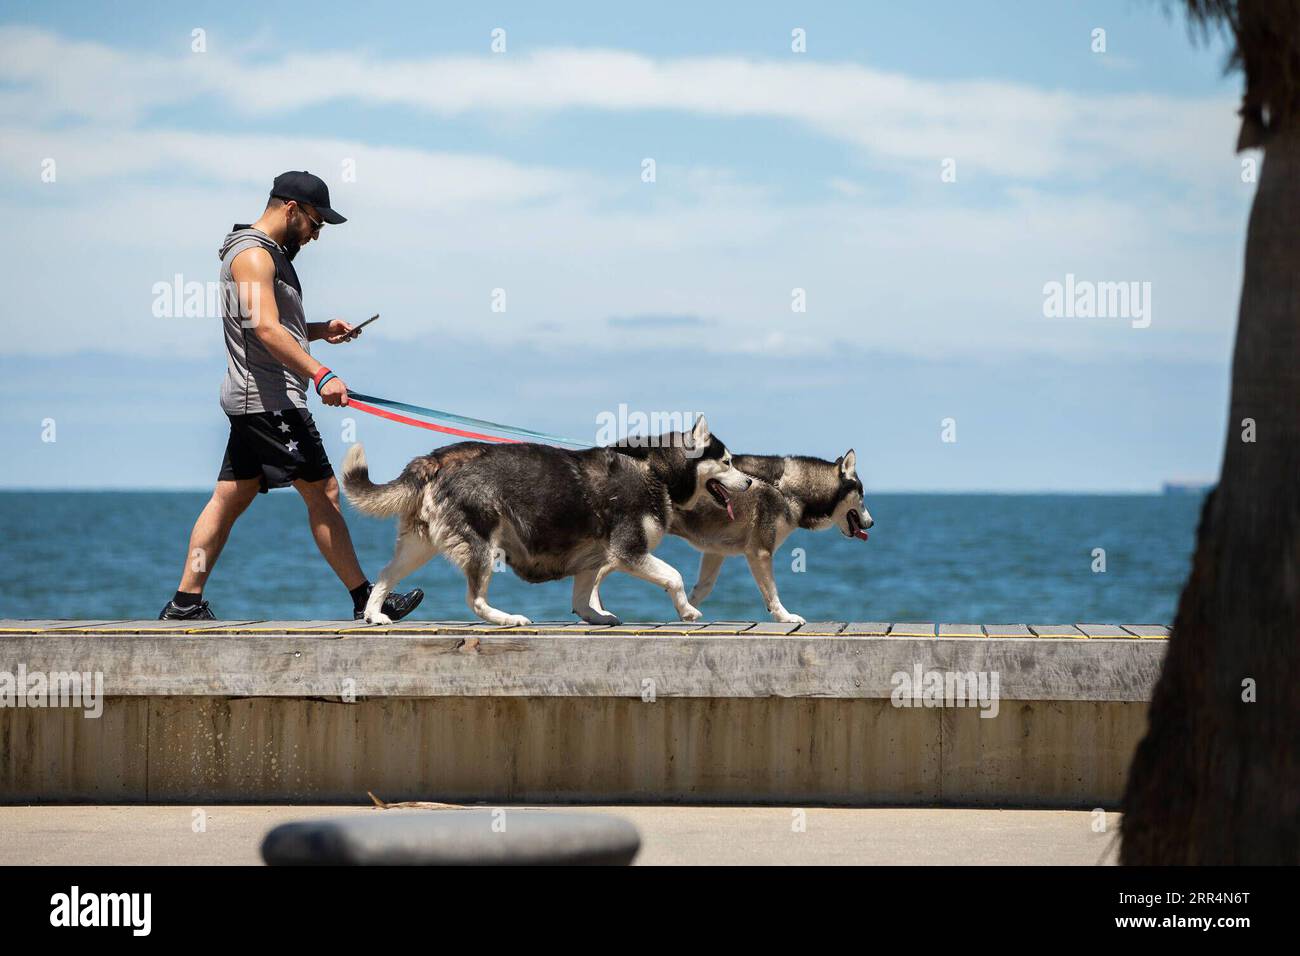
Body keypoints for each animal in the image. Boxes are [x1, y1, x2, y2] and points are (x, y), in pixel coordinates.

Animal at [340, 416, 759, 624]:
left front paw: (595, 616)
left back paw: (375, 615)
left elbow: (582, 594)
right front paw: (686, 609)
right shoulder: (630, 551)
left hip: (419, 545)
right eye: (727, 462)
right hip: (481, 545)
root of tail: (437, 457)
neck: (654, 468)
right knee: (474, 599)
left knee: (385, 575)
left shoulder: (594, 558)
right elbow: (674, 576)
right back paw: (505, 618)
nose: (751, 481)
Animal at [595, 450, 868, 624]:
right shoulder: (760, 552)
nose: (872, 523)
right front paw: (784, 616)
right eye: (863, 496)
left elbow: (703, 588)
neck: (785, 486)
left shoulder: (715, 550)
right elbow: (772, 592)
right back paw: (596, 612)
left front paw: (686, 608)